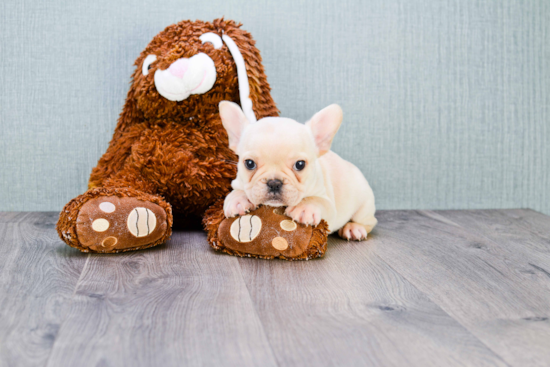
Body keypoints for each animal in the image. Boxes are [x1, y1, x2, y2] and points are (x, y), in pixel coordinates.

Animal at [218, 100, 378, 242]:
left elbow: (317, 200)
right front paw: (237, 199)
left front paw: (305, 208)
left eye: (300, 165)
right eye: (249, 164)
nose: (274, 182)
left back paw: (354, 228)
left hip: (364, 206)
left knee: (369, 222)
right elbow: (237, 191)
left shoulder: (328, 205)